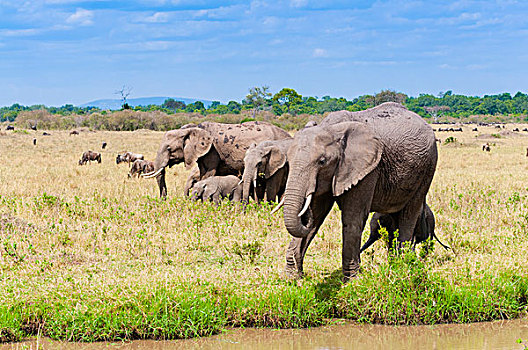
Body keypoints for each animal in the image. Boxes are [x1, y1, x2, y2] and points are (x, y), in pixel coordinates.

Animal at [280, 102, 438, 278]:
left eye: (322, 161)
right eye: (288, 160)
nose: (304, 215)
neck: (331, 128)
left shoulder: (368, 169)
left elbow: (353, 219)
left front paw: (353, 280)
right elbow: (318, 215)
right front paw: (292, 278)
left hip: (428, 167)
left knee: (409, 213)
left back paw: (404, 266)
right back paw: (395, 265)